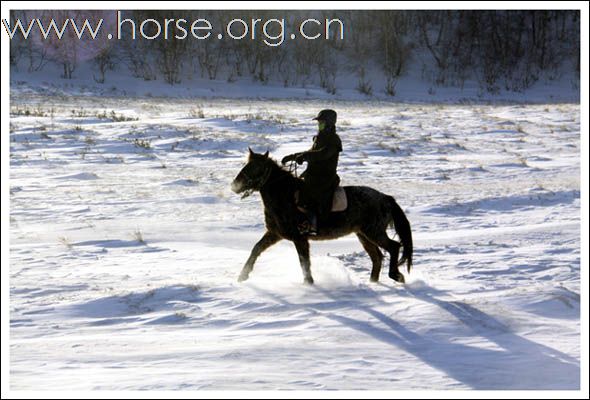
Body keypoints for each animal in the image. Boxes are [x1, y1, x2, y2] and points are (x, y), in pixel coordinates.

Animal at [229, 149, 414, 284]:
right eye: (246, 165)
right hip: (363, 235)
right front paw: (242, 276)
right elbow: (256, 249)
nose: (234, 186)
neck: (285, 196)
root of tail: (385, 198)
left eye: (255, 168)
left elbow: (304, 262)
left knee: (394, 247)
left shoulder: (299, 238)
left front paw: (309, 283)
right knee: (377, 257)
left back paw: (396, 276)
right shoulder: (275, 234)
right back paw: (373, 283)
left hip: (374, 232)